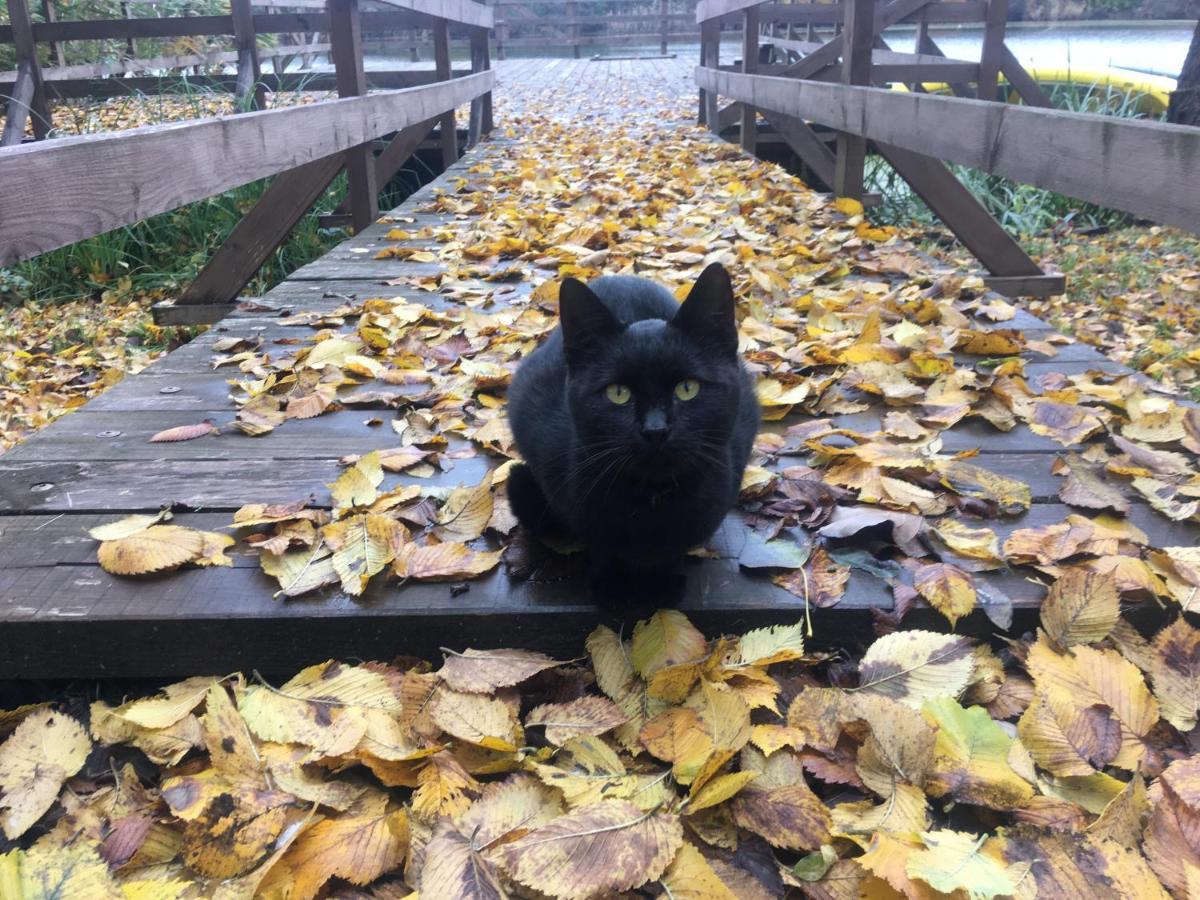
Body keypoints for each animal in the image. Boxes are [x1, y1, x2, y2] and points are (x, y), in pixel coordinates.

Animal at [506, 260, 758, 578]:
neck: (653, 508)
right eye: (618, 393)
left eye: (687, 388)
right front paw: (607, 578)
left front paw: (669, 576)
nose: (655, 430)